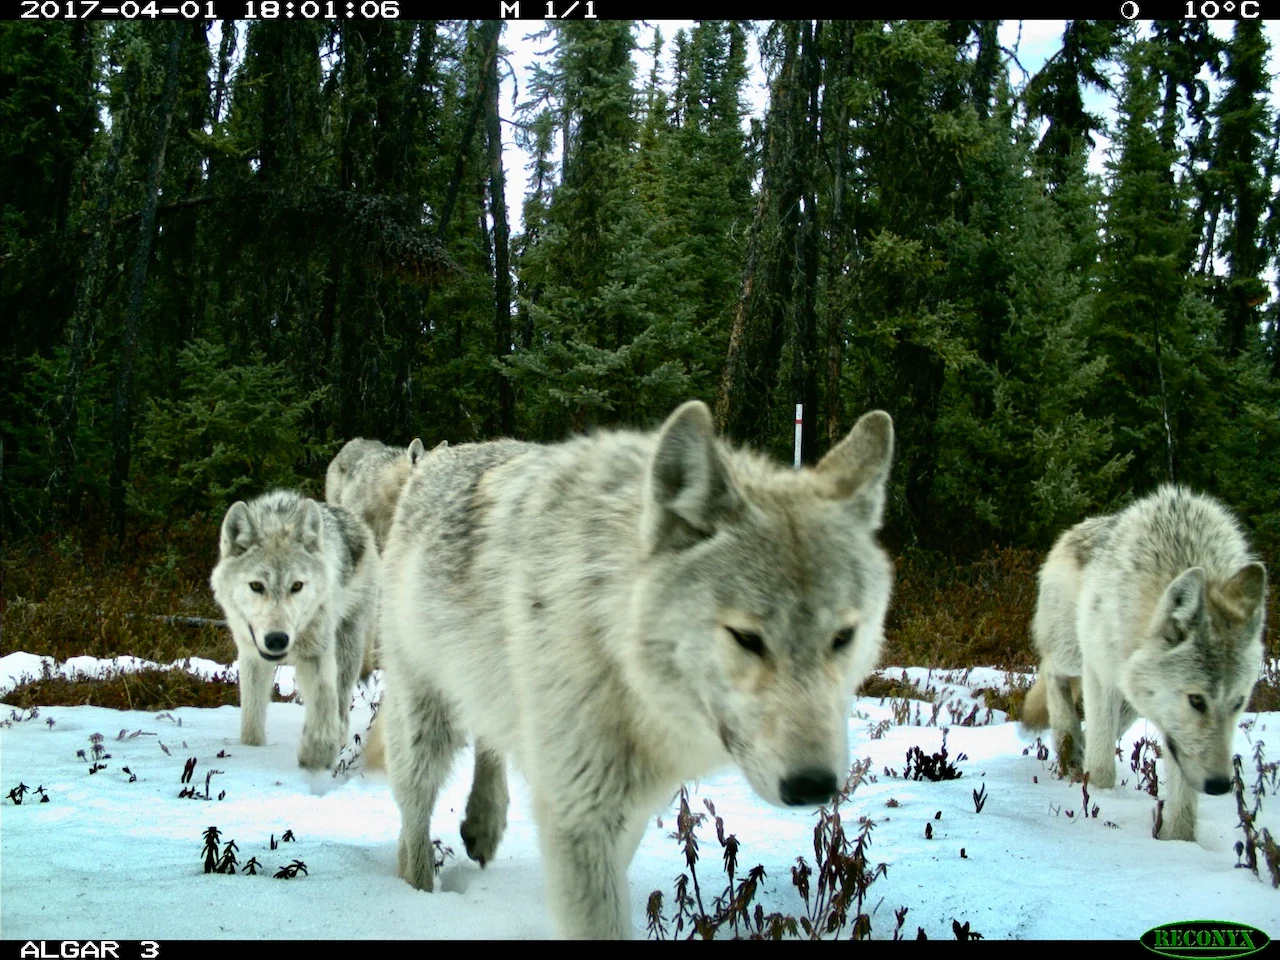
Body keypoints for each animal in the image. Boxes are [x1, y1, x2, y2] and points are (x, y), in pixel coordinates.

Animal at [209, 491, 376, 773]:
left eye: (296, 586)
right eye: (257, 586)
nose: (277, 639)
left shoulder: (317, 654)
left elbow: (323, 703)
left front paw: (316, 758)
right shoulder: (251, 654)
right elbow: (251, 715)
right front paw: (251, 751)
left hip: (348, 646)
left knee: (342, 706)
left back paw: (341, 742)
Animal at [373, 399, 896, 942]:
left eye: (842, 636)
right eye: (747, 638)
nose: (814, 786)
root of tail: (436, 460)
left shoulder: (628, 807)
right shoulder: (580, 810)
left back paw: (483, 823)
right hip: (424, 724)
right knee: (414, 819)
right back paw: (417, 891)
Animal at [1024, 488, 1264, 839]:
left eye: (1238, 703)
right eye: (1197, 700)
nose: (1220, 785)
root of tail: (1073, 530)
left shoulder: (1173, 731)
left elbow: (1182, 803)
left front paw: (1178, 841)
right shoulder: (1099, 673)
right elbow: (1102, 767)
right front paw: (1098, 795)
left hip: (1131, 702)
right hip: (1073, 653)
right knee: (1052, 673)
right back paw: (1067, 741)